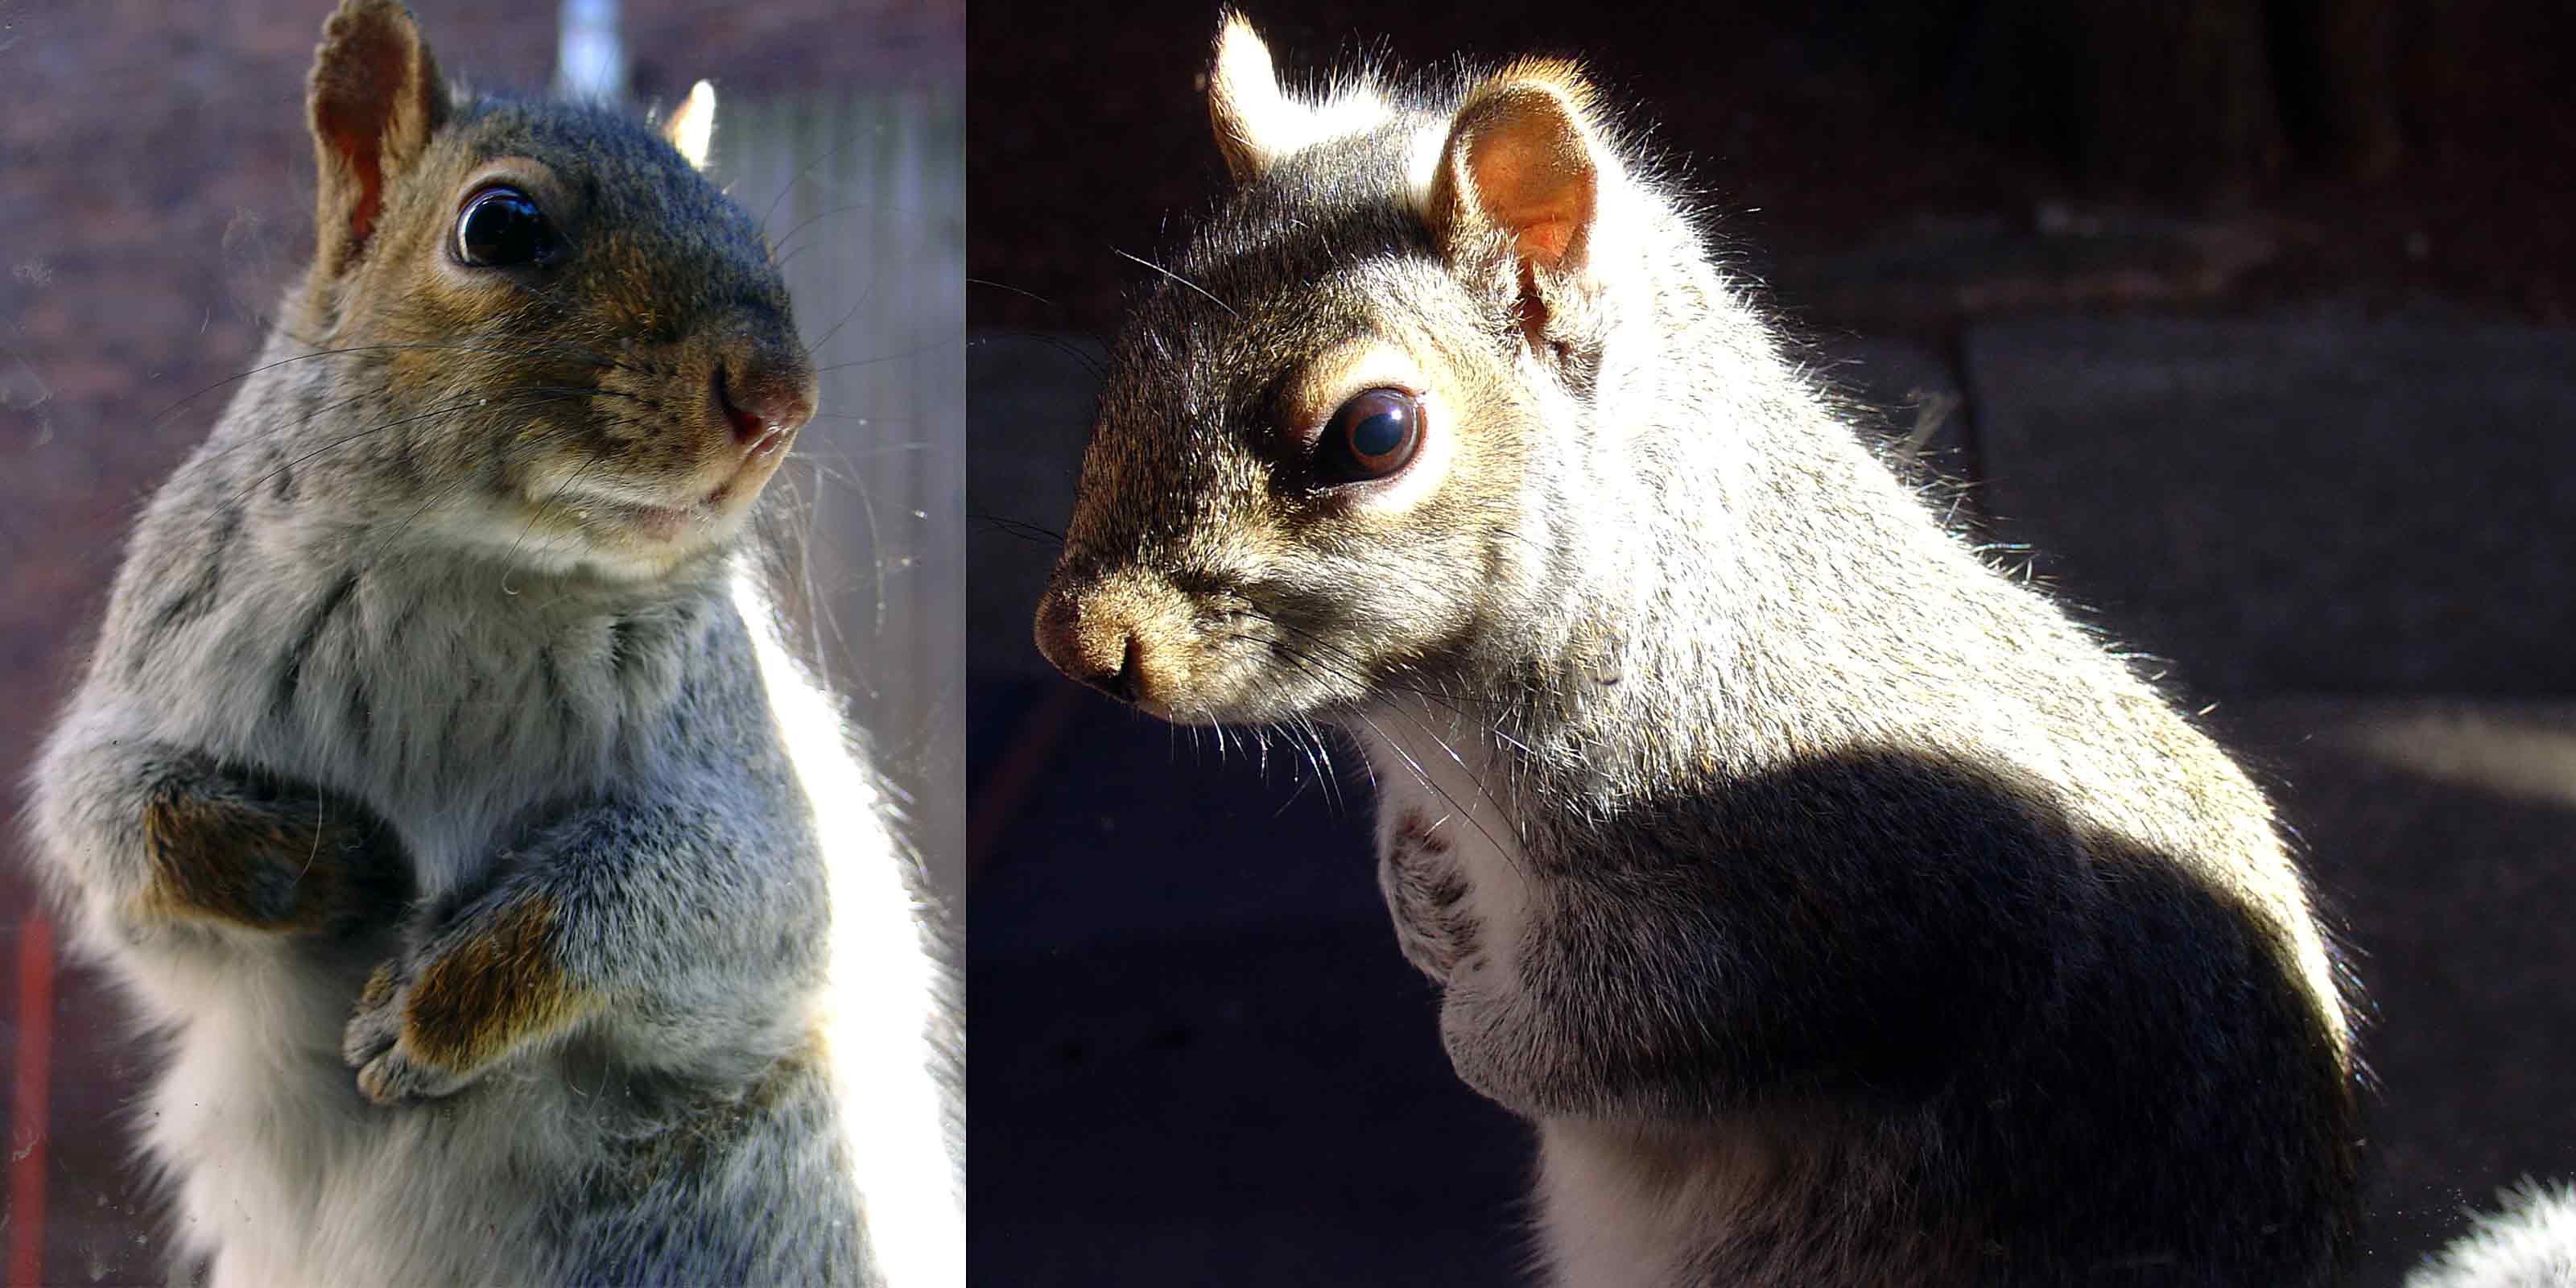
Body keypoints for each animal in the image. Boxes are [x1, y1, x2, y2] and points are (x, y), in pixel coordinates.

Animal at [23, 3, 957, 1285]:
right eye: (499, 225)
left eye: (751, 231)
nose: (782, 399)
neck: (472, 566)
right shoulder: (158, 678)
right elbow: (114, 825)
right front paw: (327, 863)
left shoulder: (750, 792)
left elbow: (712, 896)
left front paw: (433, 1010)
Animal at [1033, 14, 2360, 1286]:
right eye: (1135, 341)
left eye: (1377, 431)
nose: (1076, 642)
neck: (1426, 728)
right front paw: (1413, 901)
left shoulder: (1866, 884)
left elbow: (1642, 1032)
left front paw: (1477, 1032)